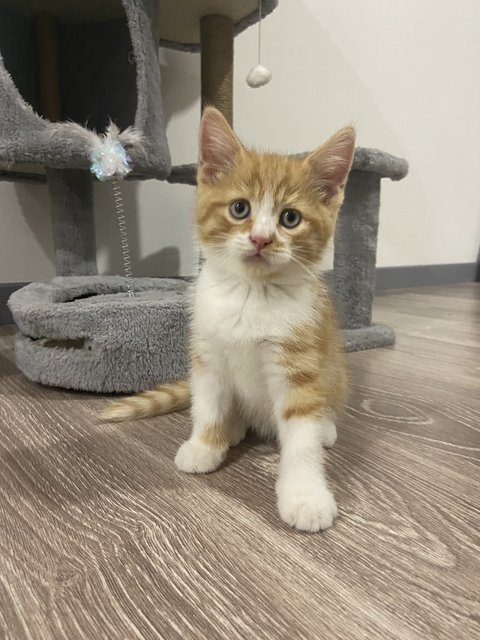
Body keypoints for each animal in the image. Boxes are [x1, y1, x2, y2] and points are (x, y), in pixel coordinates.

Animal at [102, 107, 356, 532]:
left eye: (290, 218)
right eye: (240, 208)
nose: (261, 239)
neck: (251, 294)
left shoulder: (299, 359)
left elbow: (300, 432)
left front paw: (305, 495)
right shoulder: (207, 352)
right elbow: (207, 403)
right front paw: (204, 445)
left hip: (334, 368)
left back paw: (325, 427)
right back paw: (232, 428)